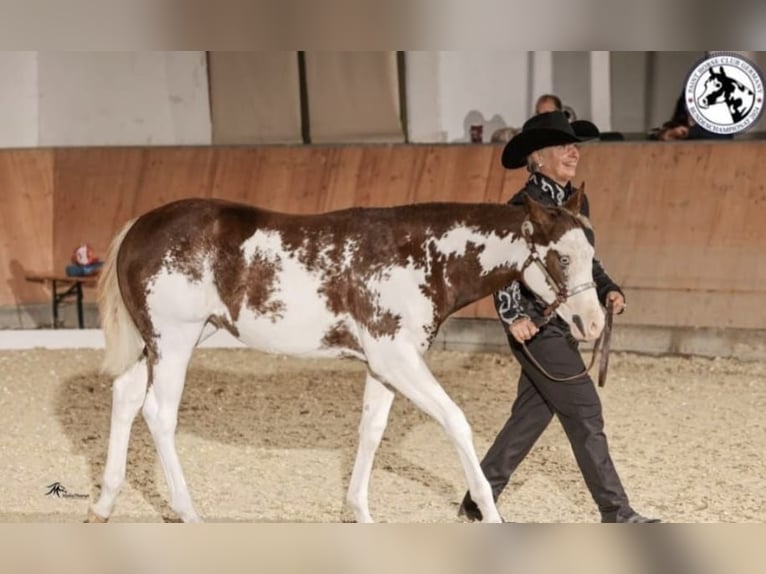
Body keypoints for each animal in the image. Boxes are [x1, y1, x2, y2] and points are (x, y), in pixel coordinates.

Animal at [90, 190, 608, 528]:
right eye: (562, 258)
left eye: (591, 253)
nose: (593, 323)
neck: (422, 256)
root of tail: (139, 226)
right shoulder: (398, 359)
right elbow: (456, 422)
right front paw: (490, 513)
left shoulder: (382, 366)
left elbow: (370, 431)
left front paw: (359, 511)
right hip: (174, 342)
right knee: (158, 414)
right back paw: (188, 512)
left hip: (157, 344)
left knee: (124, 399)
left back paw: (104, 503)